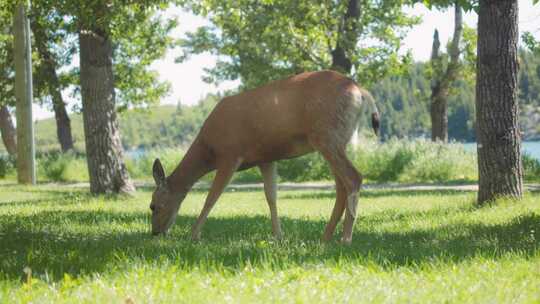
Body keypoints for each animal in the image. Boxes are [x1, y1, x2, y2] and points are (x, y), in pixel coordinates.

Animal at [150, 70, 380, 243]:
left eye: (153, 206)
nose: (155, 232)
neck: (208, 150)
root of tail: (359, 90)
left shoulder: (230, 154)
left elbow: (211, 197)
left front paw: (193, 235)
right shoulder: (266, 159)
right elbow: (271, 197)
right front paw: (279, 236)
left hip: (327, 136)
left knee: (353, 178)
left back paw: (345, 238)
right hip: (336, 140)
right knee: (341, 185)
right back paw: (326, 237)